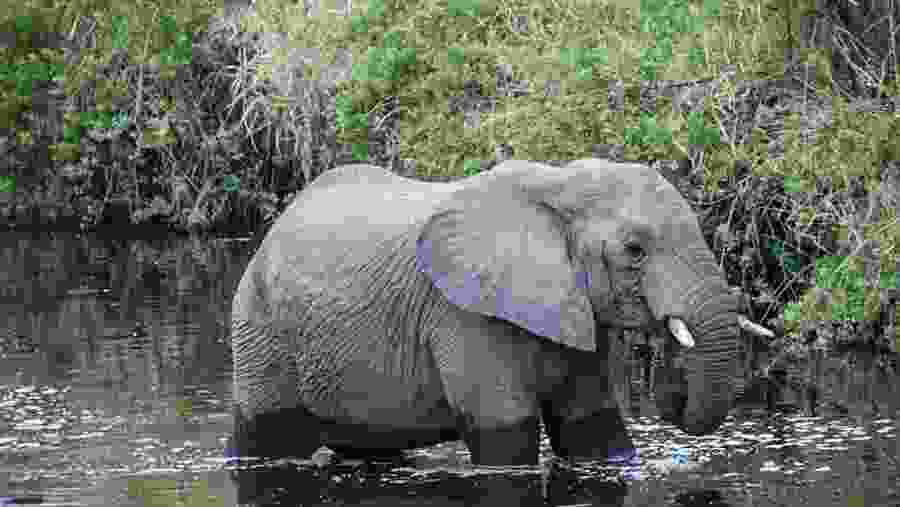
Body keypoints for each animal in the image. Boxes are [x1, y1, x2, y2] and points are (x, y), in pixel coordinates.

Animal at [227, 159, 773, 467]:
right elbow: (505, 438)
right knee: (268, 437)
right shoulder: (462, 316)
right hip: (259, 326)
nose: (666, 397)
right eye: (635, 250)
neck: (558, 186)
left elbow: (593, 431)